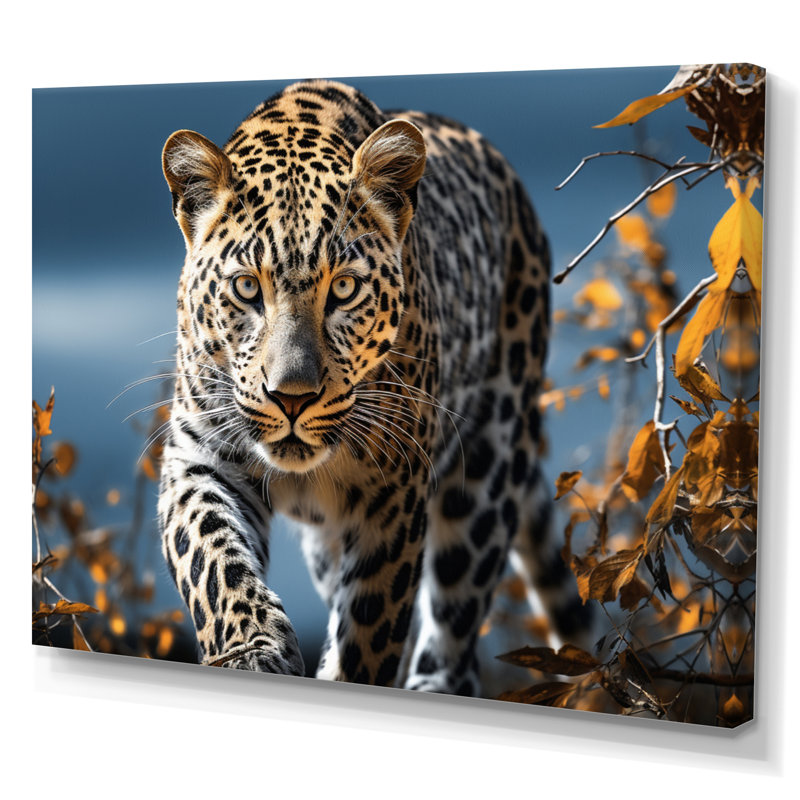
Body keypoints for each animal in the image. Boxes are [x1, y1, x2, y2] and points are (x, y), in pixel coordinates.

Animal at [157, 79, 589, 697]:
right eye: (246, 288)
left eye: (343, 289)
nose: (292, 397)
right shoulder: (201, 455)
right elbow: (210, 553)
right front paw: (251, 651)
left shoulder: (396, 487)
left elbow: (370, 620)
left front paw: (345, 676)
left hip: (486, 466)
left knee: (455, 623)